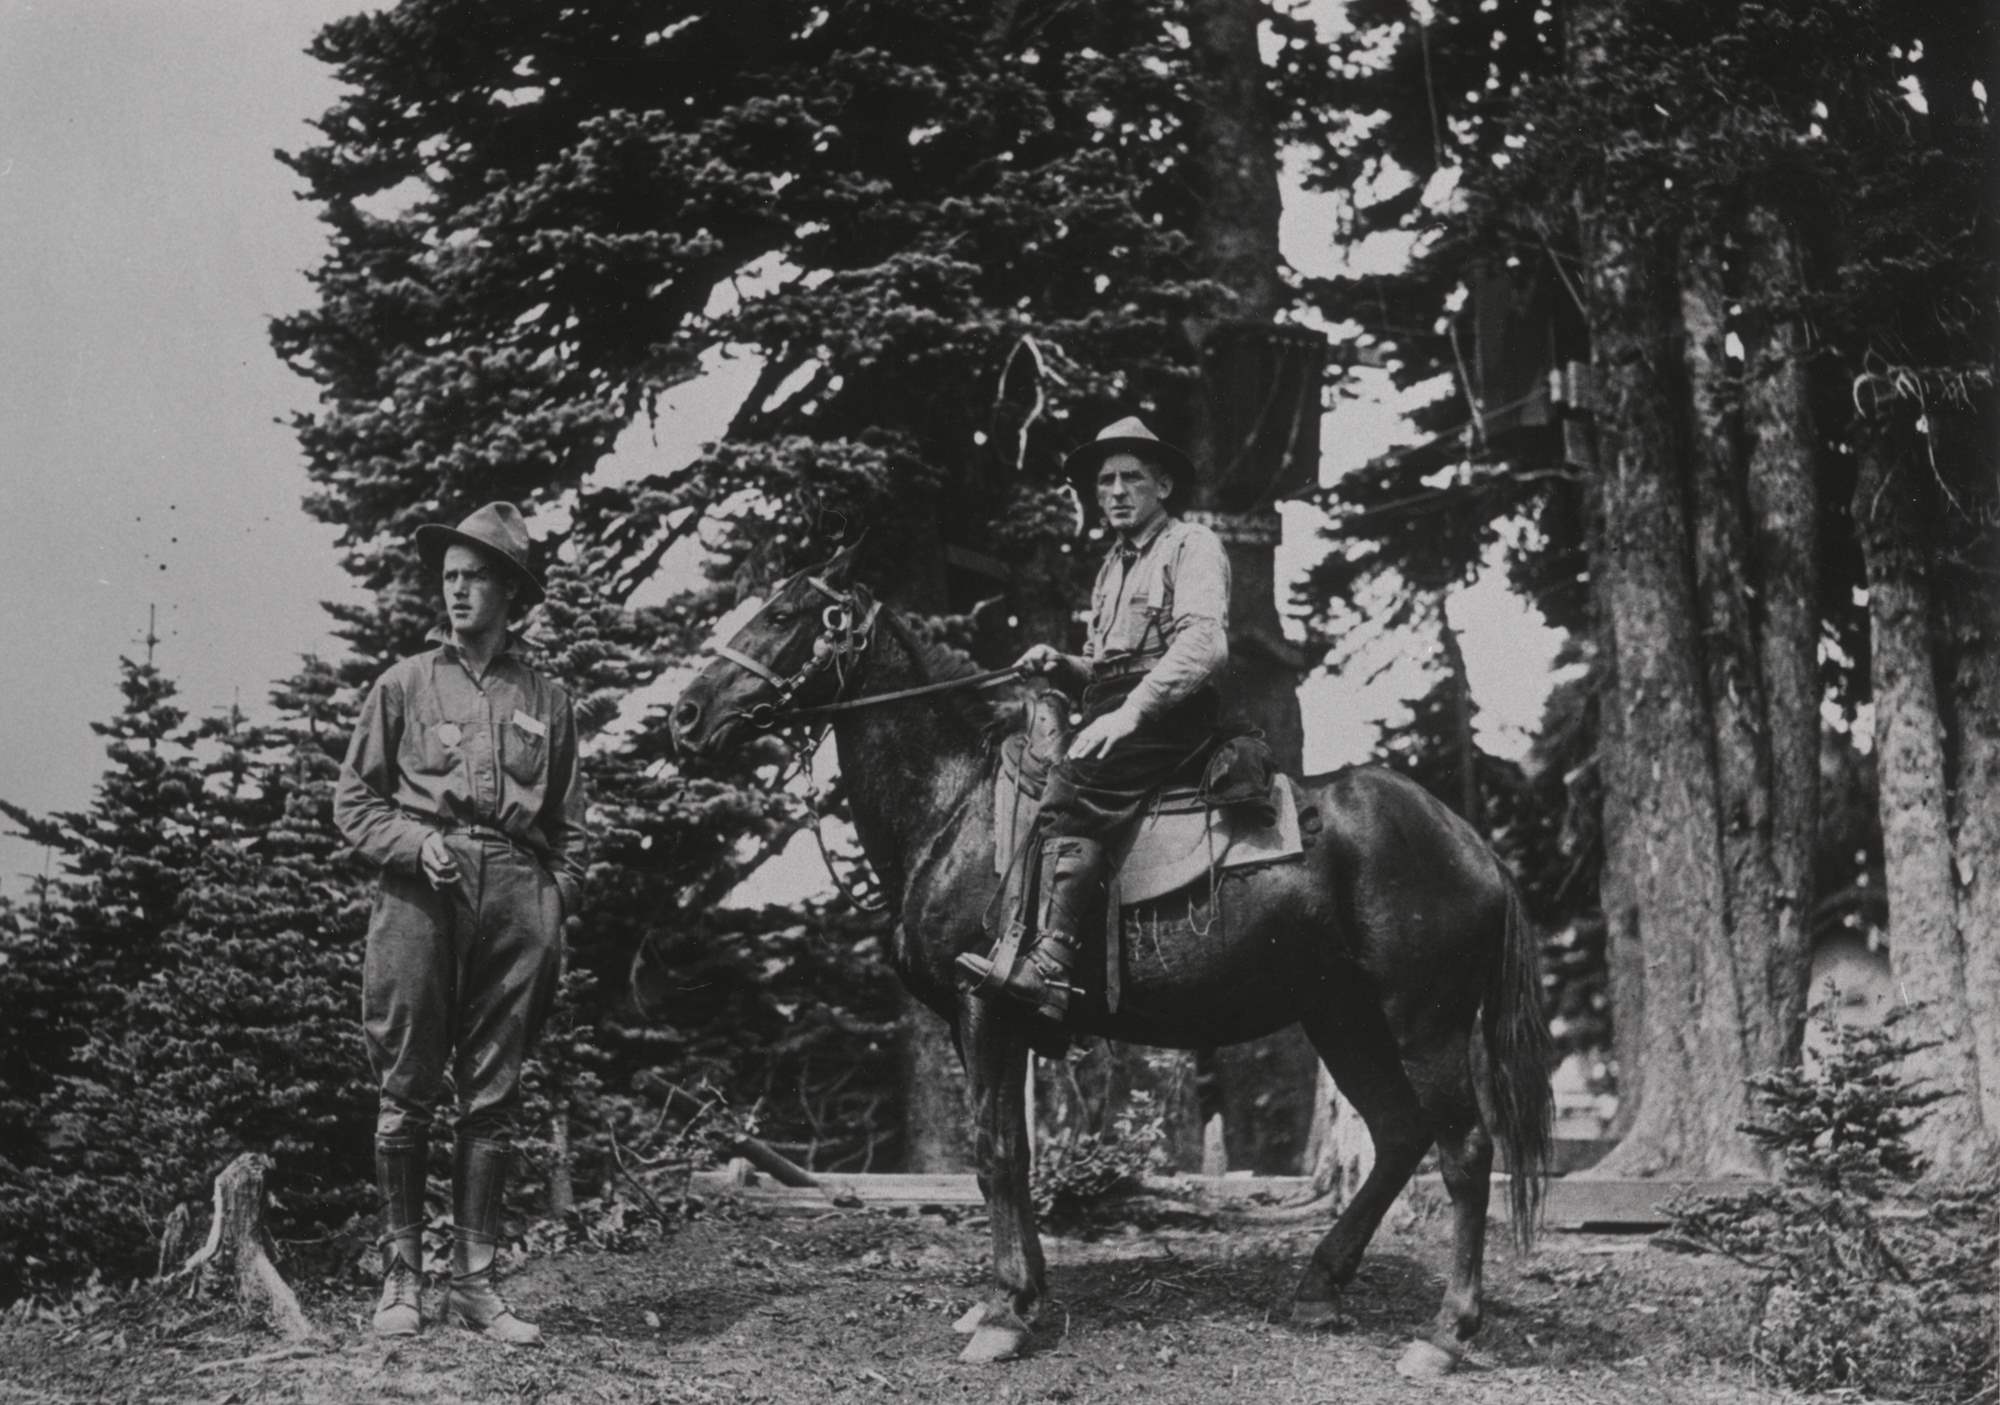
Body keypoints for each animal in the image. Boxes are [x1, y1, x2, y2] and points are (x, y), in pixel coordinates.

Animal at [664, 548, 1552, 1376]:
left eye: (783, 615)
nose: (685, 713)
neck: (957, 808)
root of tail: (1472, 842)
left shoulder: (987, 1010)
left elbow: (993, 1149)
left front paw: (1006, 1312)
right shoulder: (976, 1024)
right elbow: (1014, 1153)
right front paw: (1015, 1295)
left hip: (1422, 1026)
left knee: (1465, 1151)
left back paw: (1445, 1333)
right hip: (1343, 1018)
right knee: (1400, 1136)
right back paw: (1317, 1287)